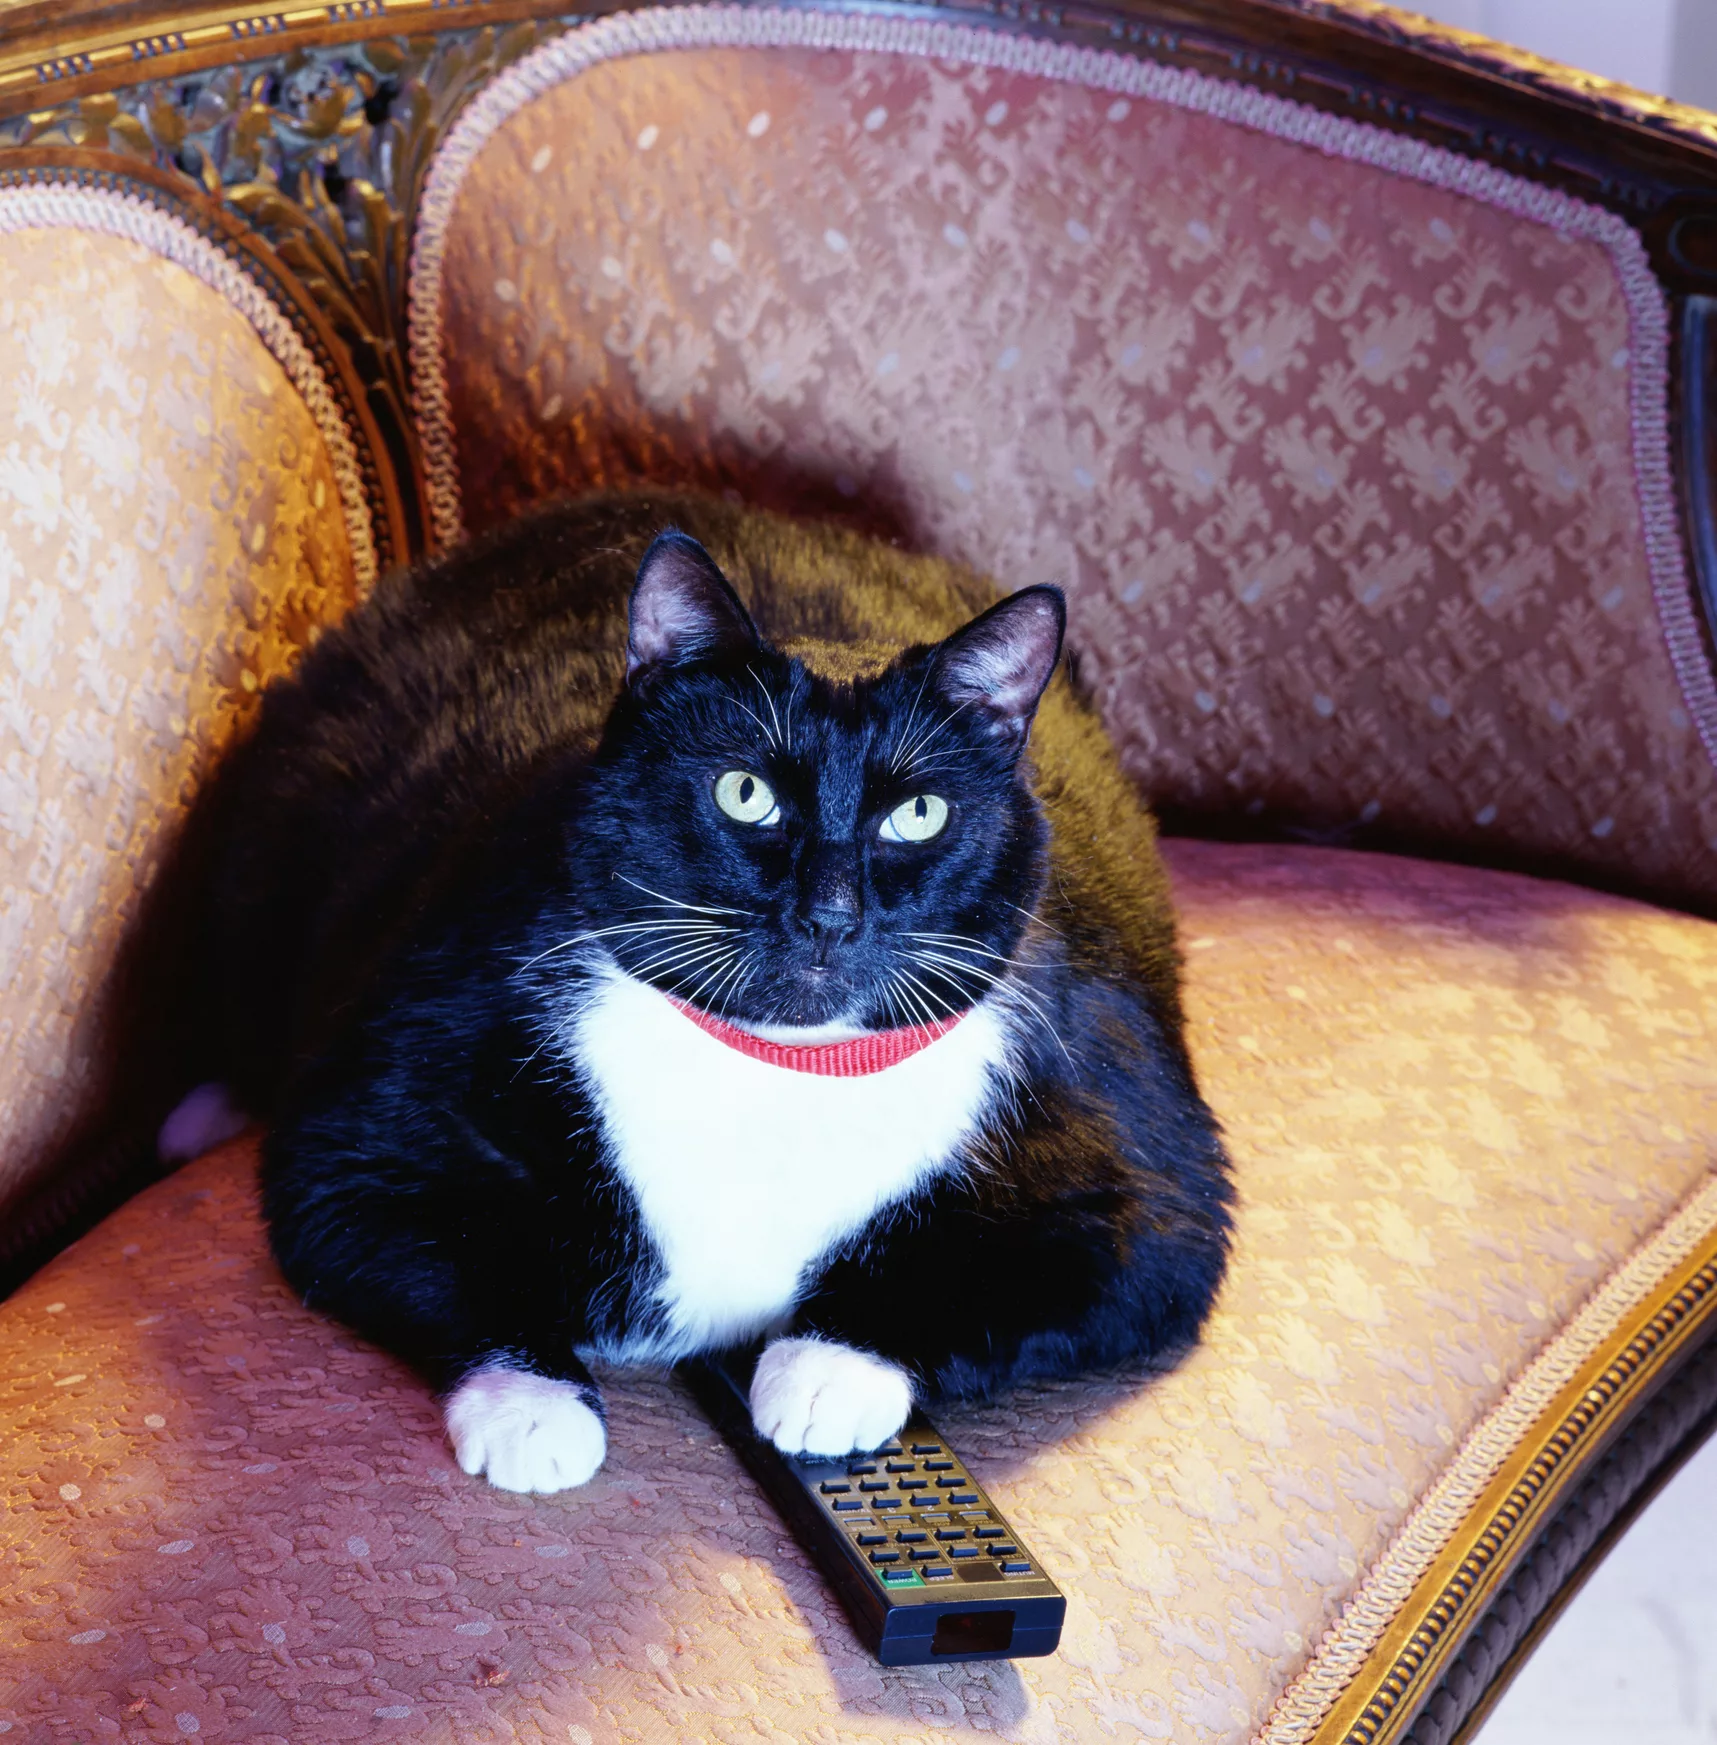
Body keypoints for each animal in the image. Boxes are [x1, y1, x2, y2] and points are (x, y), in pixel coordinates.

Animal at [160, 495, 1235, 1500]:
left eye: (919, 813)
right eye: (744, 791)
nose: (828, 913)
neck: (774, 1067)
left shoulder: (1139, 1166)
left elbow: (1045, 1267)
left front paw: (824, 1369)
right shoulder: (393, 1080)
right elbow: (393, 1223)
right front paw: (532, 1405)